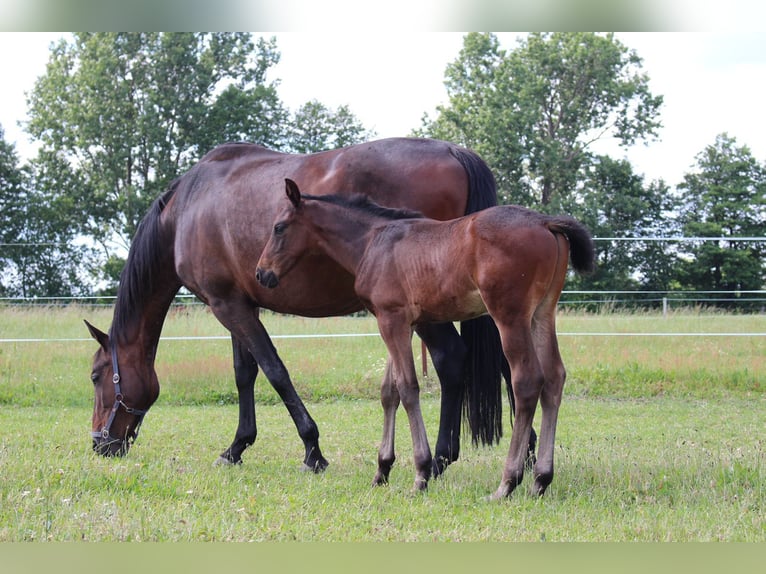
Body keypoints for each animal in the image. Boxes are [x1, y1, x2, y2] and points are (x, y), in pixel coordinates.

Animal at [84, 138, 516, 476]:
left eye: (95, 376)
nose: (99, 444)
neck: (186, 209)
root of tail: (455, 151)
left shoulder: (227, 305)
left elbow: (275, 371)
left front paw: (312, 450)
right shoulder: (240, 304)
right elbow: (245, 374)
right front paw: (237, 447)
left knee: (452, 357)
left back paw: (442, 458)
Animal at [255, 181, 596, 500]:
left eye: (279, 227)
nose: (261, 274)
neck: (373, 241)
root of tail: (545, 222)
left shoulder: (391, 320)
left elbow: (408, 389)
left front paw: (420, 474)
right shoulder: (399, 322)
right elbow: (388, 391)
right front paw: (382, 471)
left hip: (510, 316)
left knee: (526, 381)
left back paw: (507, 483)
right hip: (542, 313)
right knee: (554, 379)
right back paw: (540, 480)